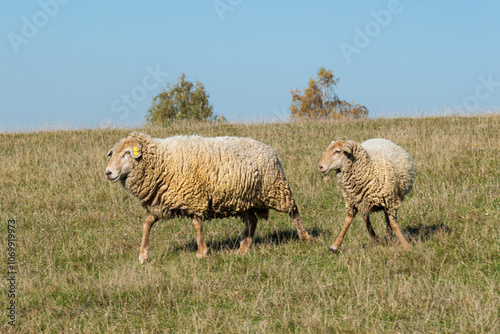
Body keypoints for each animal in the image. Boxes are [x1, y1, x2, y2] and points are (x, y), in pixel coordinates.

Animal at [104, 132, 308, 262]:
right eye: (113, 153)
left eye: (127, 153)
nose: (108, 172)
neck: (162, 161)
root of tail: (268, 148)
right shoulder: (162, 202)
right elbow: (147, 223)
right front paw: (142, 255)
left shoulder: (193, 197)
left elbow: (196, 225)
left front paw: (201, 252)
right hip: (243, 200)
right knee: (252, 221)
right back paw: (243, 248)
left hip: (276, 188)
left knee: (293, 211)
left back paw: (305, 237)